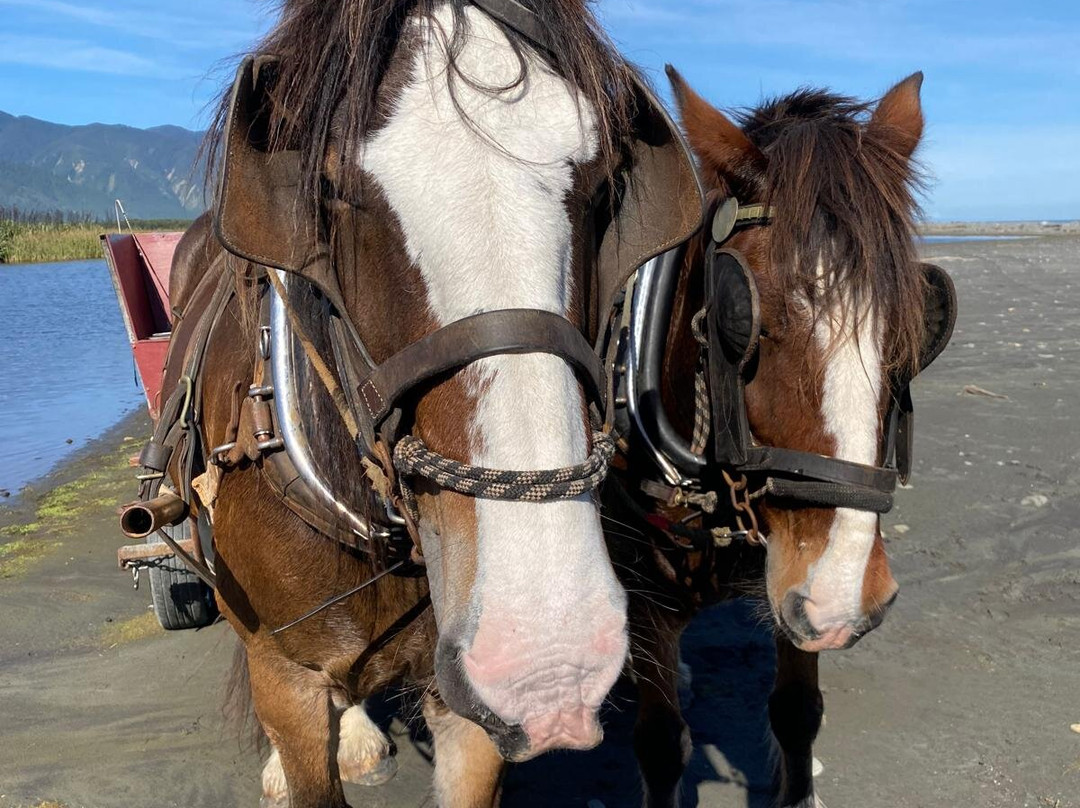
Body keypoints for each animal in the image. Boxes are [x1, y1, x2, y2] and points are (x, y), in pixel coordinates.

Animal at [609, 69, 954, 808]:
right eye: (743, 318)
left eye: (918, 321)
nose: (845, 596)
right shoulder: (647, 586)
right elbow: (659, 744)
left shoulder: (792, 579)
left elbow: (797, 711)